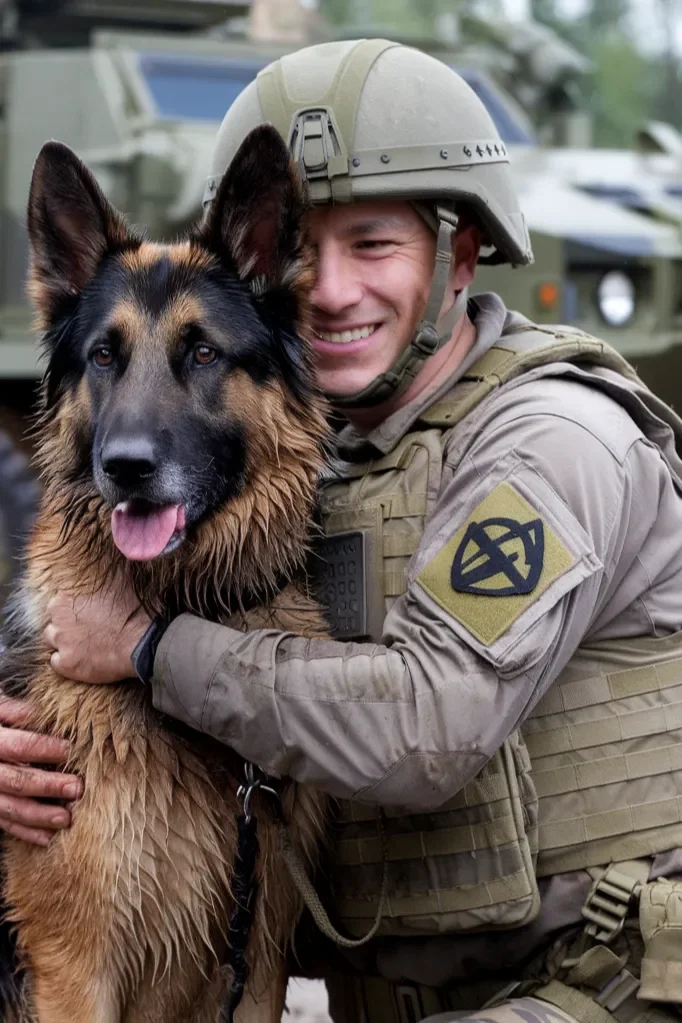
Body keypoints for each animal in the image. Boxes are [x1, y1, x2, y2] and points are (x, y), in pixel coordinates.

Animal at [0, 127, 331, 1023]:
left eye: (204, 351)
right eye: (103, 356)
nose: (126, 468)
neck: (182, 607)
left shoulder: (257, 963)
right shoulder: (76, 968)